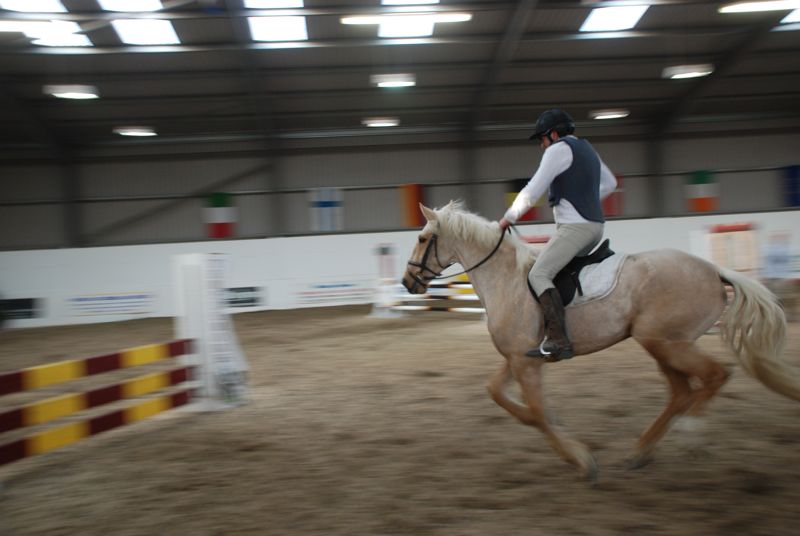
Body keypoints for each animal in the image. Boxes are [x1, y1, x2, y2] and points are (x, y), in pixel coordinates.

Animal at [401, 201, 797, 482]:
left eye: (421, 239)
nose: (408, 282)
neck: (507, 279)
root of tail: (714, 270)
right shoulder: (518, 358)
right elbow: (501, 395)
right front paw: (557, 432)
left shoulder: (525, 363)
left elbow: (537, 412)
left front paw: (579, 459)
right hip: (661, 345)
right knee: (682, 391)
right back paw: (640, 453)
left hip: (667, 343)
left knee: (714, 376)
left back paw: (691, 434)